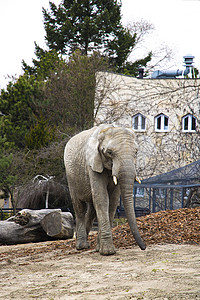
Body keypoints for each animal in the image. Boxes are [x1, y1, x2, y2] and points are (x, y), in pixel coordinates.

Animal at [64, 124, 145, 255]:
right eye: (110, 152)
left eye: (136, 152)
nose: (144, 247)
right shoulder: (92, 163)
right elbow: (102, 198)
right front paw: (107, 252)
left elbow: (112, 201)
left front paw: (100, 248)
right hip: (70, 176)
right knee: (79, 207)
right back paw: (81, 246)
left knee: (92, 209)